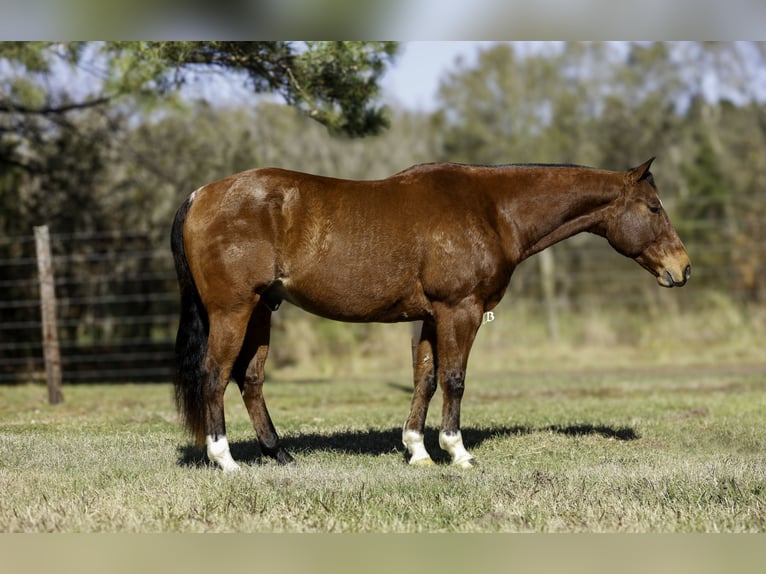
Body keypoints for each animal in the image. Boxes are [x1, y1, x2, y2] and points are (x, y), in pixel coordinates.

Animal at [171, 159, 692, 472]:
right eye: (654, 207)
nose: (682, 268)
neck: (492, 209)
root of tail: (200, 194)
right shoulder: (460, 309)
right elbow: (454, 379)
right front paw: (457, 452)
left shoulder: (428, 316)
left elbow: (424, 378)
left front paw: (417, 451)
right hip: (234, 310)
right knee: (215, 375)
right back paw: (225, 459)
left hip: (262, 309)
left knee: (250, 379)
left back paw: (279, 454)